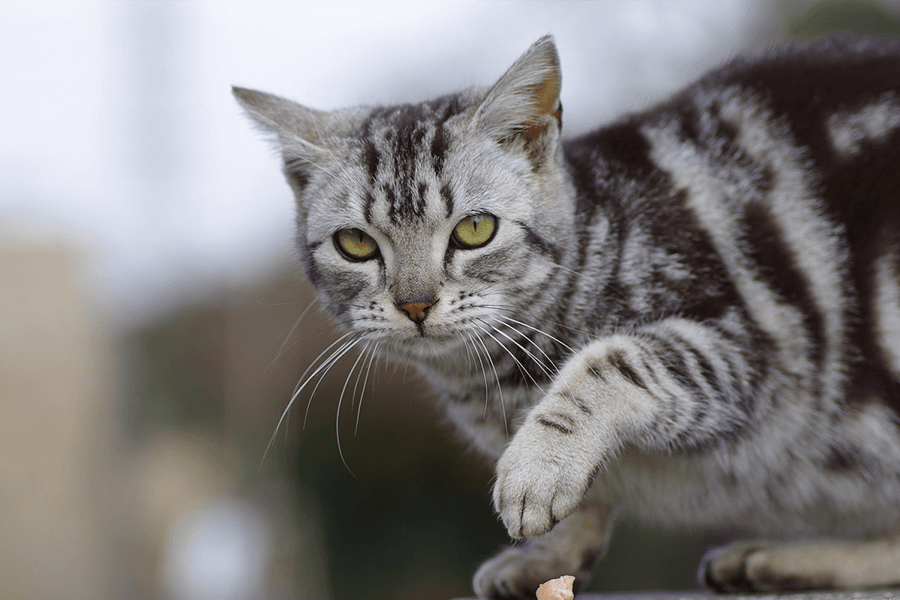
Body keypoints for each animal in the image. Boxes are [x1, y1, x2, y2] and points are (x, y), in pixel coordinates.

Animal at [236, 35, 900, 596]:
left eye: (474, 231)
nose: (415, 303)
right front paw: (554, 549)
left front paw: (540, 468)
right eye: (355, 244)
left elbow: (614, 360)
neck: (495, 384)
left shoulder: (752, 344)